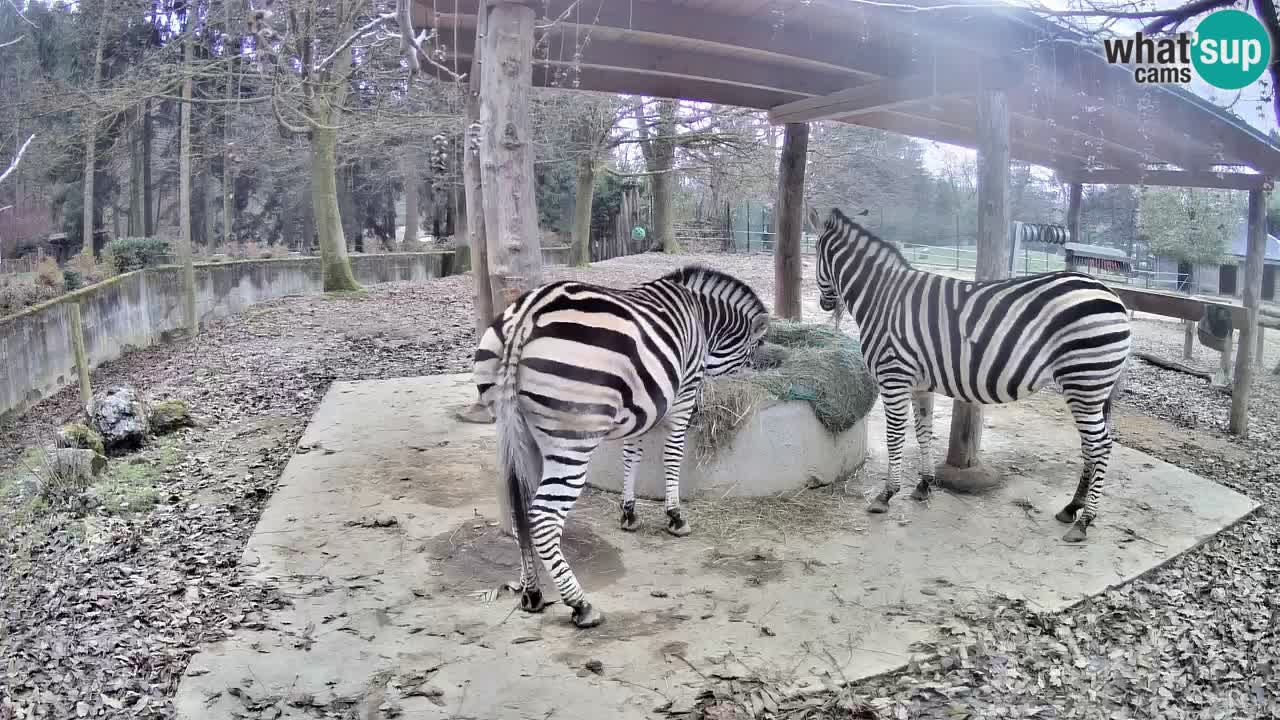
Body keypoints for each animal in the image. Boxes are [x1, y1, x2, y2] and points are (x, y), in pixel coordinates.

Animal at [473, 266, 762, 625]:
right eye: (751, 353)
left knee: (519, 512)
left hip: (514, 430)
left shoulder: (640, 404)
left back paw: (533, 593)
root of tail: (524, 320)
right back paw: (581, 605)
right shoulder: (683, 392)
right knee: (542, 516)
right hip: (572, 440)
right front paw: (675, 516)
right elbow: (672, 455)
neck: (700, 315)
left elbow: (631, 455)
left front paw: (629, 512)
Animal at [814, 204, 1136, 540]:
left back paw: (1085, 521)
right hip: (1090, 388)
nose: (825, 304)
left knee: (1101, 445)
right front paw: (924, 485)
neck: (881, 298)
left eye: (816, 254)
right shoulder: (919, 384)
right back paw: (1072, 508)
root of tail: (1112, 294)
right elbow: (924, 432)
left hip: (1084, 381)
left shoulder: (893, 377)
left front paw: (886, 494)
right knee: (1091, 445)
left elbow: (894, 436)